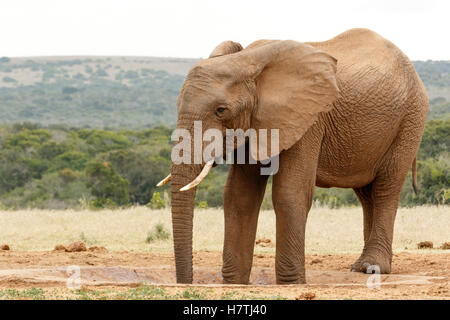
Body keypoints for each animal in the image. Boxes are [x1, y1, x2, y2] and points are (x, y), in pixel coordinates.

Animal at [158, 28, 428, 284]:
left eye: (221, 110)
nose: (187, 283)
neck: (247, 60)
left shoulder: (309, 119)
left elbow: (289, 192)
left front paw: (291, 283)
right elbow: (239, 195)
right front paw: (234, 283)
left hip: (411, 119)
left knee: (385, 188)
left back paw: (373, 267)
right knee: (366, 193)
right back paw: (362, 267)